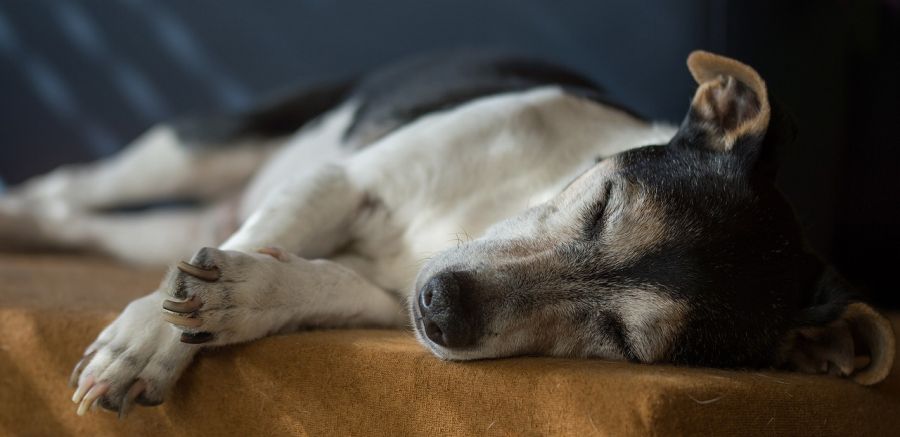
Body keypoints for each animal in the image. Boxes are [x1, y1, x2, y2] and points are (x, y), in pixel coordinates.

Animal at [0, 47, 892, 416]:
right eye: (603, 201)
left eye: (623, 342)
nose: (441, 305)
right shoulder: (339, 181)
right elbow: (245, 247)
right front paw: (149, 340)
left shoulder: (375, 293)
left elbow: (304, 280)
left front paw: (239, 296)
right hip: (198, 147)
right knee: (69, 187)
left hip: (156, 230)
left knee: (79, 220)